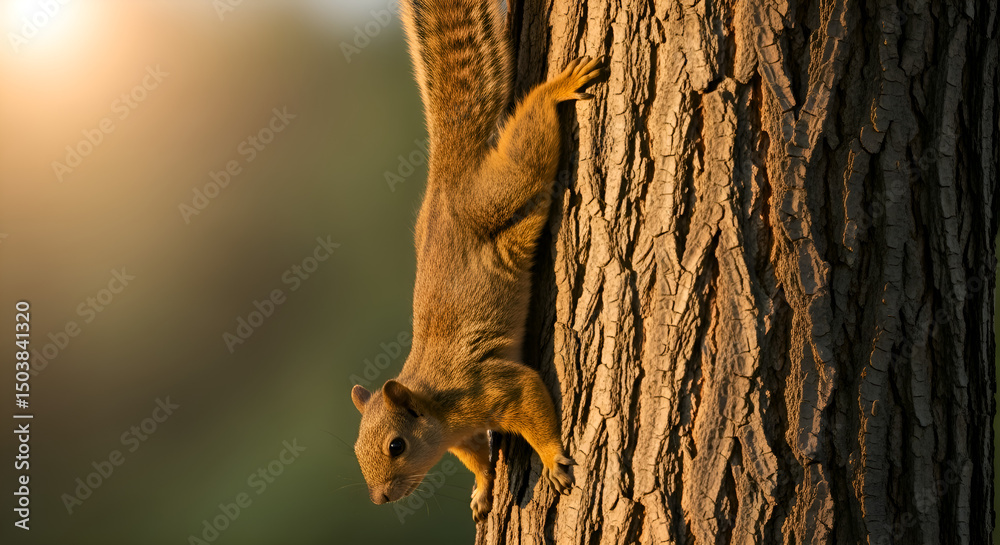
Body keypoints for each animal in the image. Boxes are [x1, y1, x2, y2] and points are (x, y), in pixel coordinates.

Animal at [350, 0, 602, 522]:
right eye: (357, 451)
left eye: (397, 446)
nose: (380, 499)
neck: (435, 406)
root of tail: (448, 171)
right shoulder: (461, 434)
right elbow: (476, 459)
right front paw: (484, 488)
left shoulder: (490, 385)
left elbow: (531, 401)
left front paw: (552, 457)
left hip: (499, 192)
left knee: (530, 146)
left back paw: (557, 88)